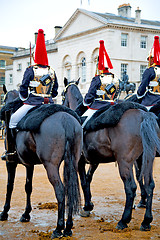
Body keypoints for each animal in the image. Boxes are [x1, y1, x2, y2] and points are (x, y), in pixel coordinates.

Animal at [0, 88, 82, 238]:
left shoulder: (11, 163)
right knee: (69, 189)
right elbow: (28, 187)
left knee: (60, 190)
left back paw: (58, 228)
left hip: (50, 166)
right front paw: (26, 214)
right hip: (72, 163)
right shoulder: (29, 164)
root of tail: (66, 120)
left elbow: (10, 186)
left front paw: (4, 212)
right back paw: (68, 227)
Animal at [62, 78, 160, 232]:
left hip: (125, 162)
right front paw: (89, 205)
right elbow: (88, 179)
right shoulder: (94, 160)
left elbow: (83, 181)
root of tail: (144, 115)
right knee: (149, 184)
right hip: (145, 158)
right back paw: (146, 221)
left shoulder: (80, 160)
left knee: (131, 187)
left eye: (62, 94)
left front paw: (87, 206)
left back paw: (124, 220)